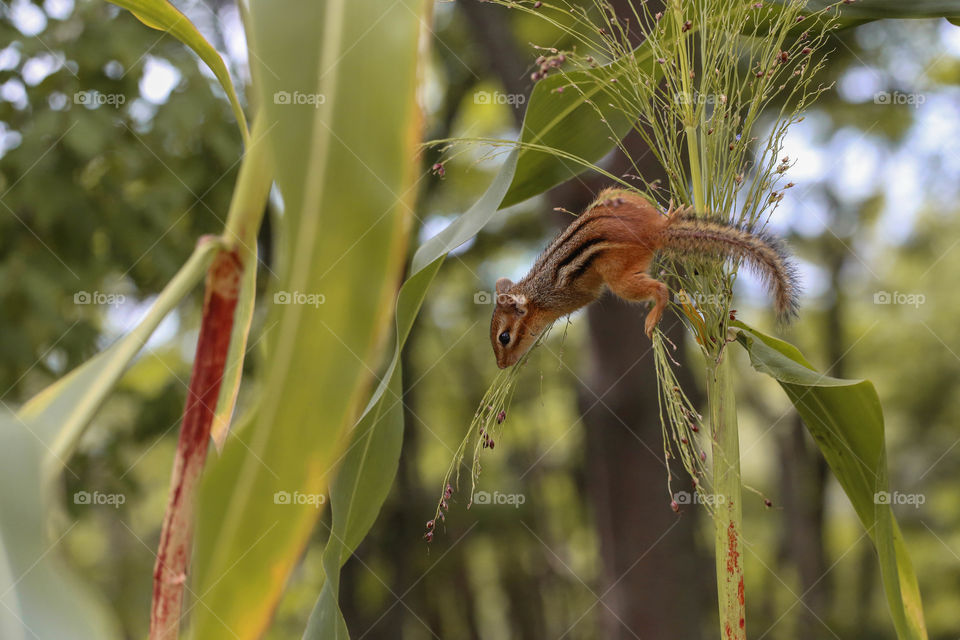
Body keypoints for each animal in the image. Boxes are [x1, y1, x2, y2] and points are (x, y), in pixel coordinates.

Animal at [490, 187, 800, 368]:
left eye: (504, 338)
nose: (502, 366)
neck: (534, 294)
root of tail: (654, 231)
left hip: (618, 278)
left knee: (660, 289)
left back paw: (653, 317)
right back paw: (671, 214)